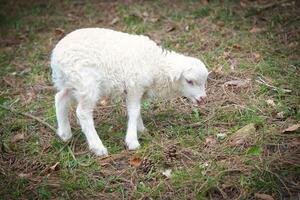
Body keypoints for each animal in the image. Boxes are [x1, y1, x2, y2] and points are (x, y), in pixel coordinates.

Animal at [50, 28, 209, 156]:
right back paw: (98, 147)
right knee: (82, 113)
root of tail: (55, 57)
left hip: (72, 82)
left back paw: (65, 133)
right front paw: (132, 141)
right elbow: (134, 111)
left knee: (60, 98)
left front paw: (141, 129)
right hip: (86, 83)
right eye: (189, 81)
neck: (156, 65)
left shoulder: (138, 90)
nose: (202, 99)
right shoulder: (134, 85)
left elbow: (136, 110)